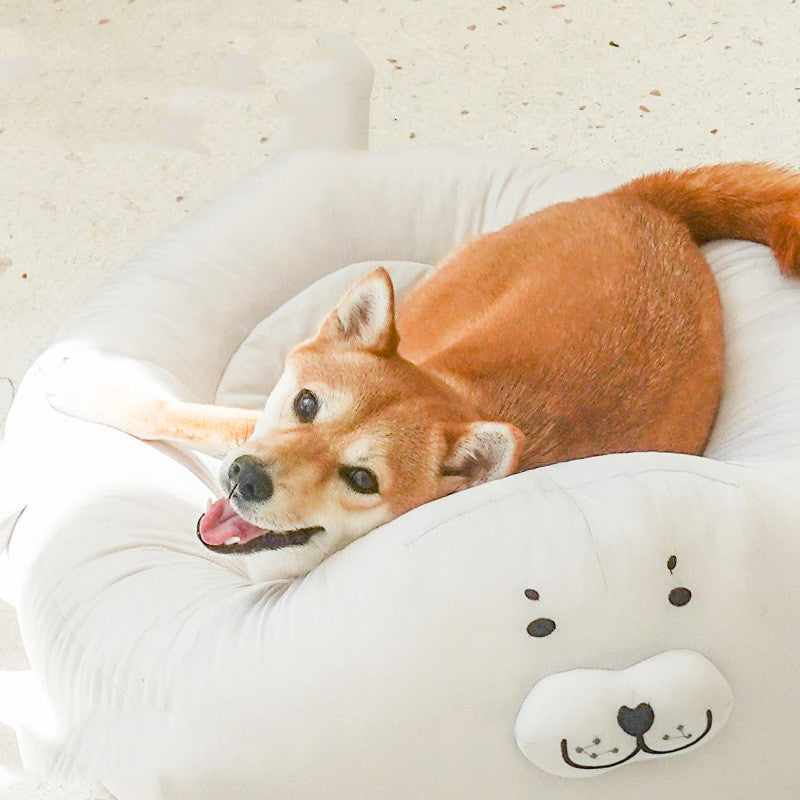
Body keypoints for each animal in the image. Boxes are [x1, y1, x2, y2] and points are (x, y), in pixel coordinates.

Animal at [47, 162, 800, 576]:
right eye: (307, 405)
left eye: (362, 479)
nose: (247, 478)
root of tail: (652, 207)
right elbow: (179, 412)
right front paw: (86, 382)